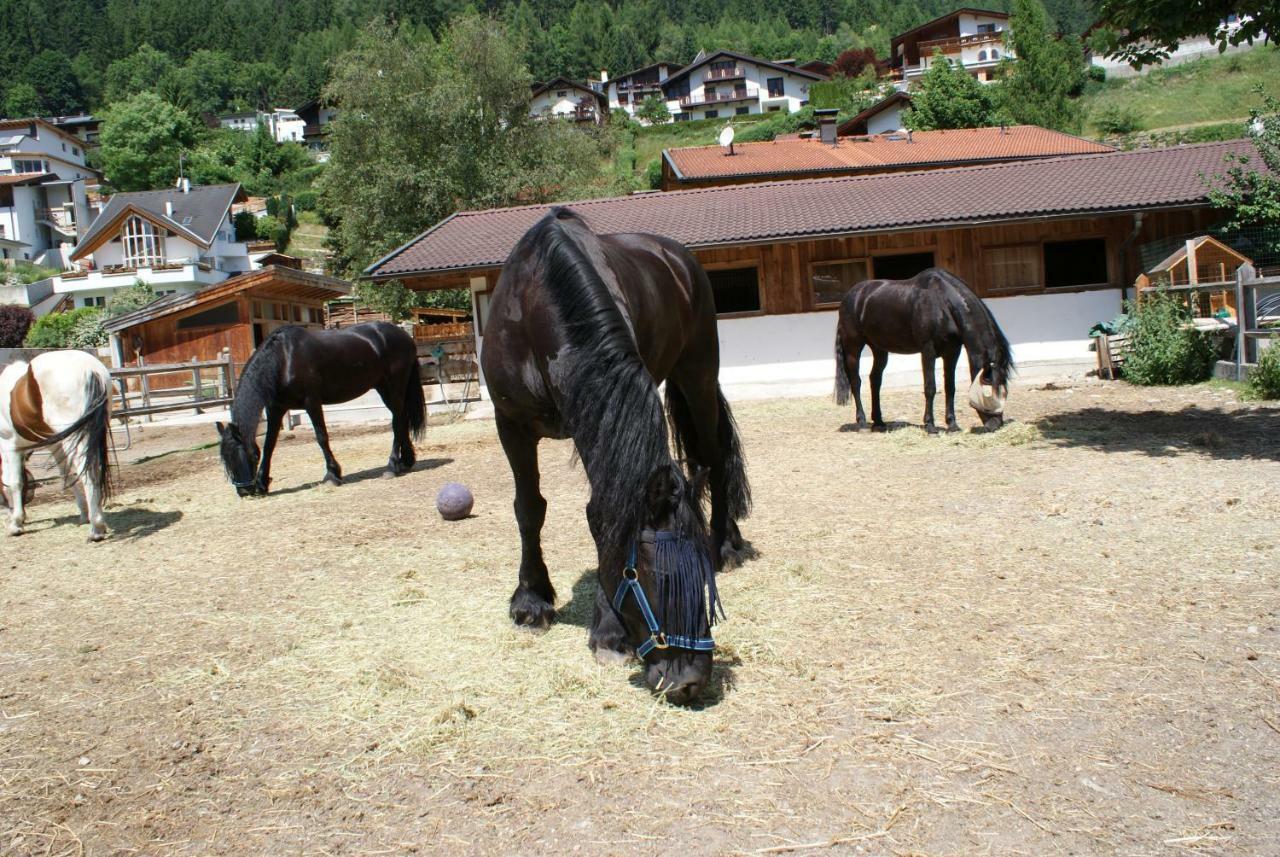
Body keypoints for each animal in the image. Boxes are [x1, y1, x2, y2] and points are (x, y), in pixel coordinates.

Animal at [0, 350, 113, 539]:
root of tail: (90, 369)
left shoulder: (10, 446)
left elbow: (13, 481)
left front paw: (16, 524)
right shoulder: (55, 445)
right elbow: (66, 474)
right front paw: (83, 514)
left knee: (87, 473)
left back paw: (96, 529)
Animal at [215, 322, 424, 496]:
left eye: (247, 455)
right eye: (226, 460)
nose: (244, 491)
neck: (283, 360)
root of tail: (404, 336)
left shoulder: (312, 402)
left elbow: (321, 437)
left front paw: (332, 475)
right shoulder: (276, 409)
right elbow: (269, 445)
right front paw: (262, 483)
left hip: (395, 386)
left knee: (397, 421)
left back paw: (391, 466)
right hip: (383, 387)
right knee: (401, 418)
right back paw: (406, 460)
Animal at [834, 269, 1013, 437]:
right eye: (989, 388)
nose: (996, 424)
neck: (942, 302)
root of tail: (850, 297)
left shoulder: (952, 352)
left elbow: (950, 387)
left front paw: (952, 425)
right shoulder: (928, 350)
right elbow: (930, 387)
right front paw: (930, 426)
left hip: (879, 349)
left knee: (875, 380)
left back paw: (878, 422)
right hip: (853, 347)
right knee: (856, 382)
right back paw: (862, 422)